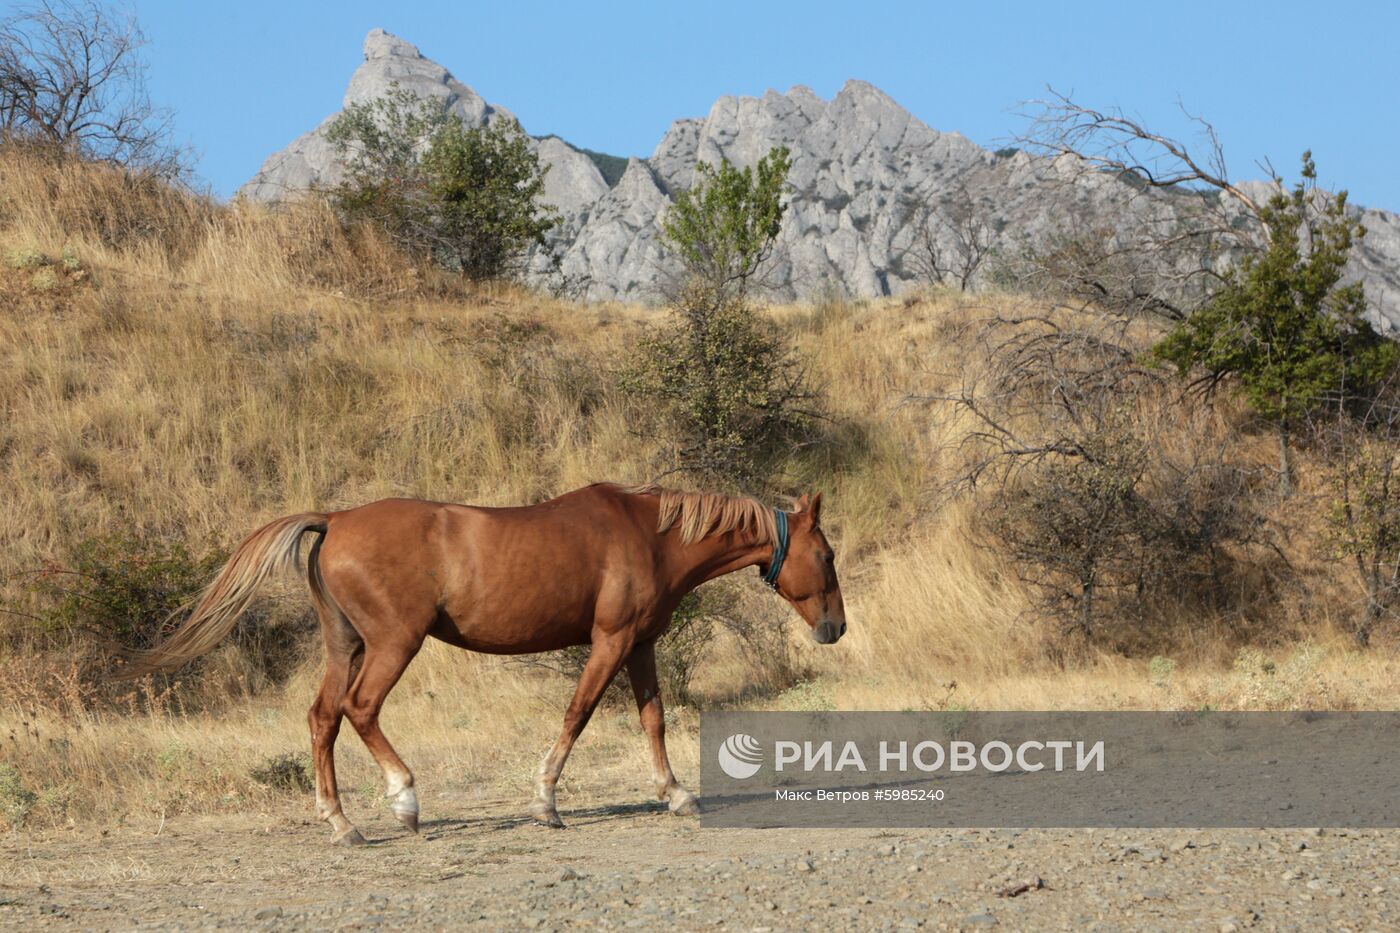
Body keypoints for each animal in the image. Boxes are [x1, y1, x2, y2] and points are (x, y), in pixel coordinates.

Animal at [131, 481, 845, 840]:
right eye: (828, 554)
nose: (835, 627)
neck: (652, 535)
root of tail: (334, 519)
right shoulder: (610, 642)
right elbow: (578, 715)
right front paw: (546, 802)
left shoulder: (639, 645)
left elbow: (653, 721)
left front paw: (676, 795)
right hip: (393, 644)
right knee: (360, 710)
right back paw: (404, 801)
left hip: (346, 645)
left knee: (323, 718)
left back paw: (340, 822)